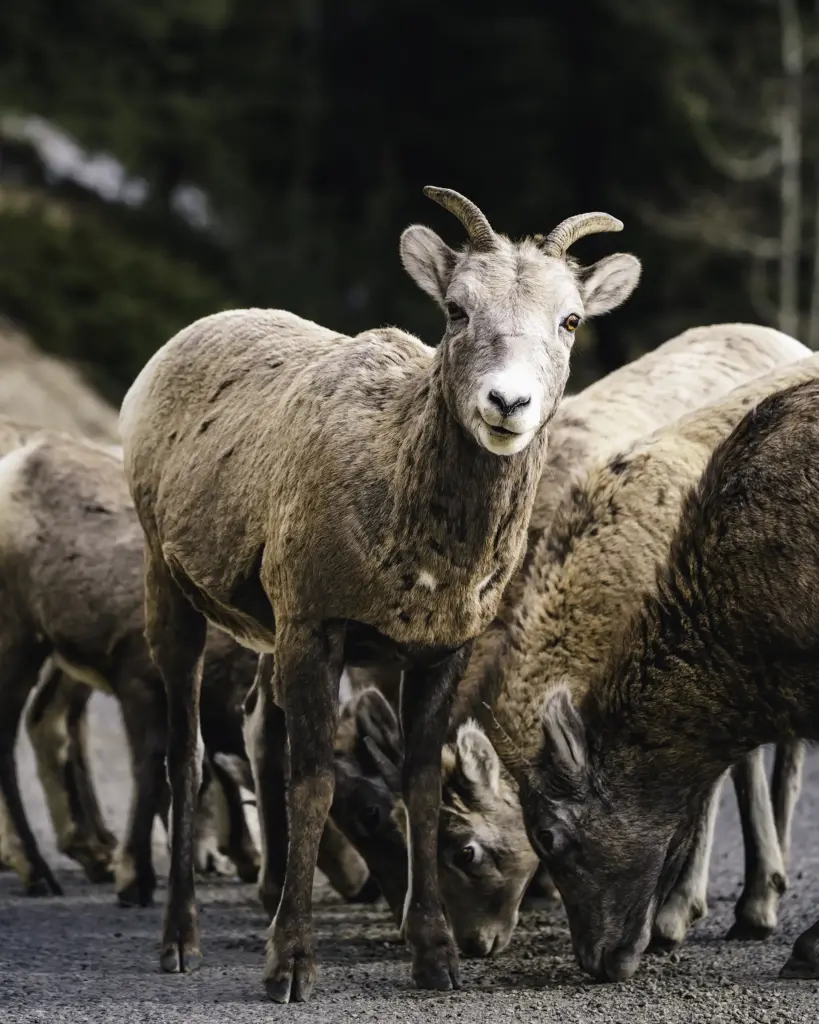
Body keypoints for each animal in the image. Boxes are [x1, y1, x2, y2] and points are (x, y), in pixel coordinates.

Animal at [121, 186, 642, 999]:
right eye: (456, 310)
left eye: (570, 320)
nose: (508, 404)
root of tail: (168, 353)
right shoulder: (317, 630)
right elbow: (311, 786)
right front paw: (290, 968)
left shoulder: (435, 652)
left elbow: (418, 790)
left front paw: (435, 959)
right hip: (171, 591)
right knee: (187, 757)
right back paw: (180, 942)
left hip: (266, 635)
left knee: (254, 733)